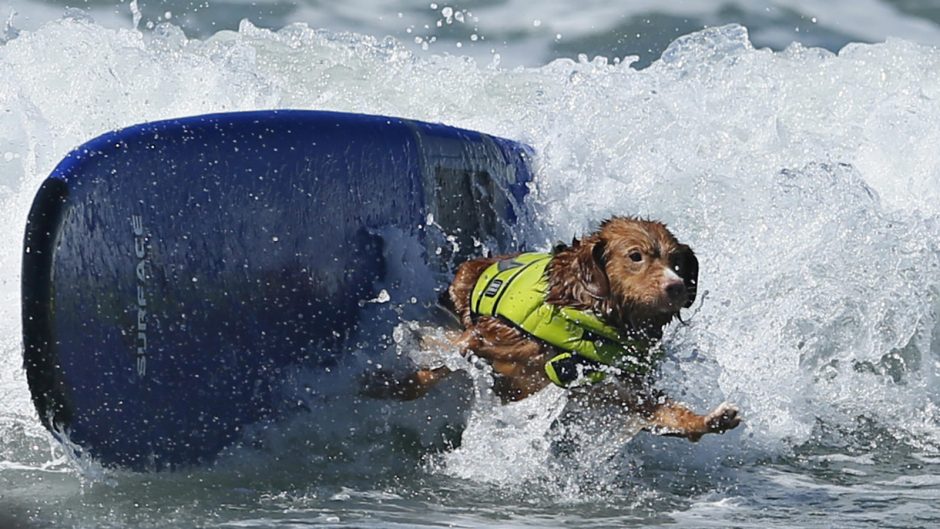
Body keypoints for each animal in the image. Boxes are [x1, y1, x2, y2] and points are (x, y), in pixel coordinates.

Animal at [364, 216, 740, 442]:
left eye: (676, 262)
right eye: (636, 256)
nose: (676, 286)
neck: (585, 319)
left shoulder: (614, 383)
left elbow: (662, 410)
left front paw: (710, 420)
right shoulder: (487, 336)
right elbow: (445, 355)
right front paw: (389, 380)